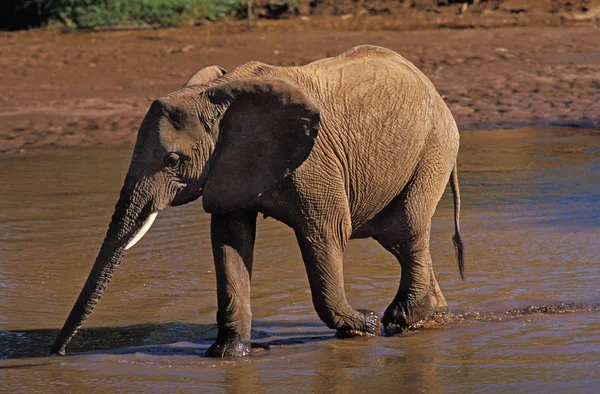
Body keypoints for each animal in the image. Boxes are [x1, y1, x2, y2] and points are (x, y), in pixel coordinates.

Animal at [50, 44, 464, 358]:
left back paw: (403, 320)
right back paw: (434, 317)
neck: (216, 93)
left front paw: (364, 325)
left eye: (173, 161)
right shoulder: (229, 163)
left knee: (407, 229)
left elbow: (326, 233)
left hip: (434, 146)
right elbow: (229, 241)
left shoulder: (314, 162)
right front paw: (227, 355)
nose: (59, 353)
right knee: (397, 239)